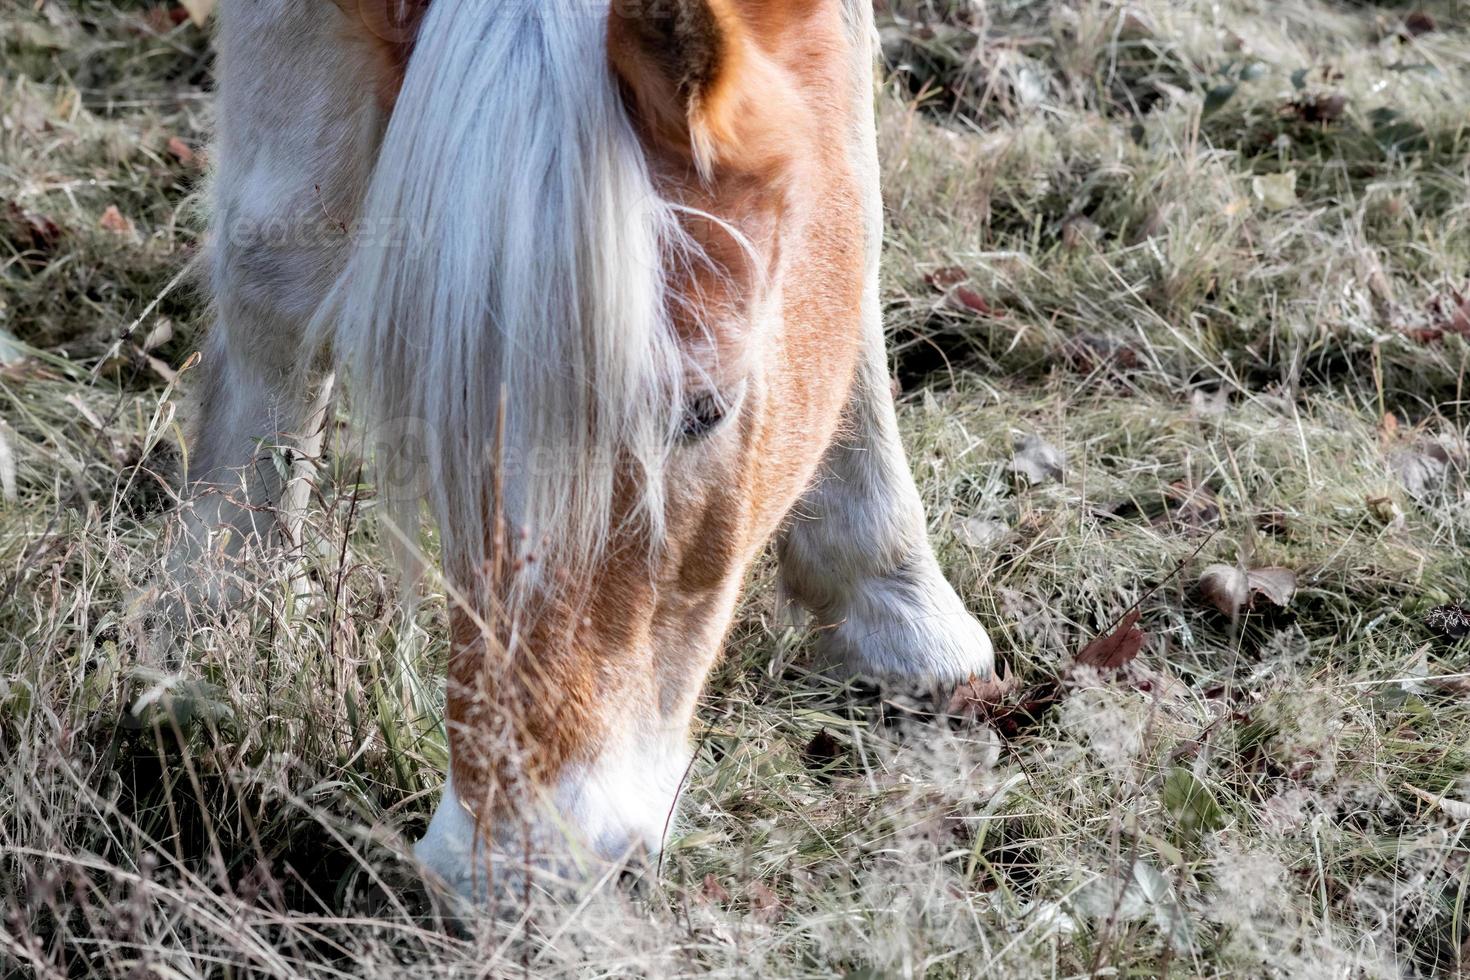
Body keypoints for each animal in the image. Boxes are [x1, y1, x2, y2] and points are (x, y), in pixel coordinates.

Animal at [177, 0, 993, 899]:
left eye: (702, 412)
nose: (514, 871)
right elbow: (274, 250)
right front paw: (214, 626)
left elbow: (854, 196)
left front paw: (899, 604)